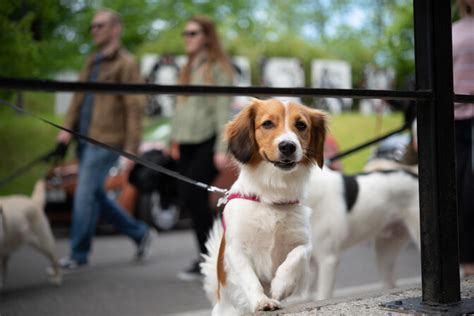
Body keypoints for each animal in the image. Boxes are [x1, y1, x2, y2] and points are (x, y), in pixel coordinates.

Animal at [199, 99, 326, 316]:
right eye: (267, 124)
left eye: (301, 125)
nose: (288, 146)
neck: (272, 197)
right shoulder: (236, 249)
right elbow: (249, 278)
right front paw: (262, 301)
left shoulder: (303, 241)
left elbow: (296, 256)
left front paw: (281, 286)